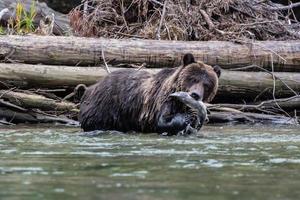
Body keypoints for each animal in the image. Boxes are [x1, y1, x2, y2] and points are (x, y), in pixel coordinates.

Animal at [79, 53, 220, 134]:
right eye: (193, 79)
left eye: (207, 84)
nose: (195, 94)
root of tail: (90, 88)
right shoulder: (163, 100)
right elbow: (163, 120)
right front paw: (188, 116)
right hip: (104, 107)